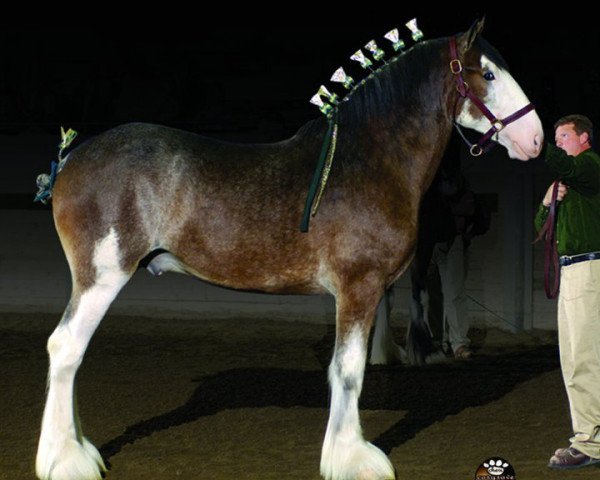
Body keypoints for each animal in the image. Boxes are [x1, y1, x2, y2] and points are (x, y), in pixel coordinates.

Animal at [37, 20, 544, 480]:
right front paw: (352, 459)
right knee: (66, 349)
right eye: (489, 74)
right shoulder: (358, 287)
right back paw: (67, 461)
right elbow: (348, 371)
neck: (370, 158)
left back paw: (76, 449)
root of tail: (72, 158)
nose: (536, 138)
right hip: (102, 277)